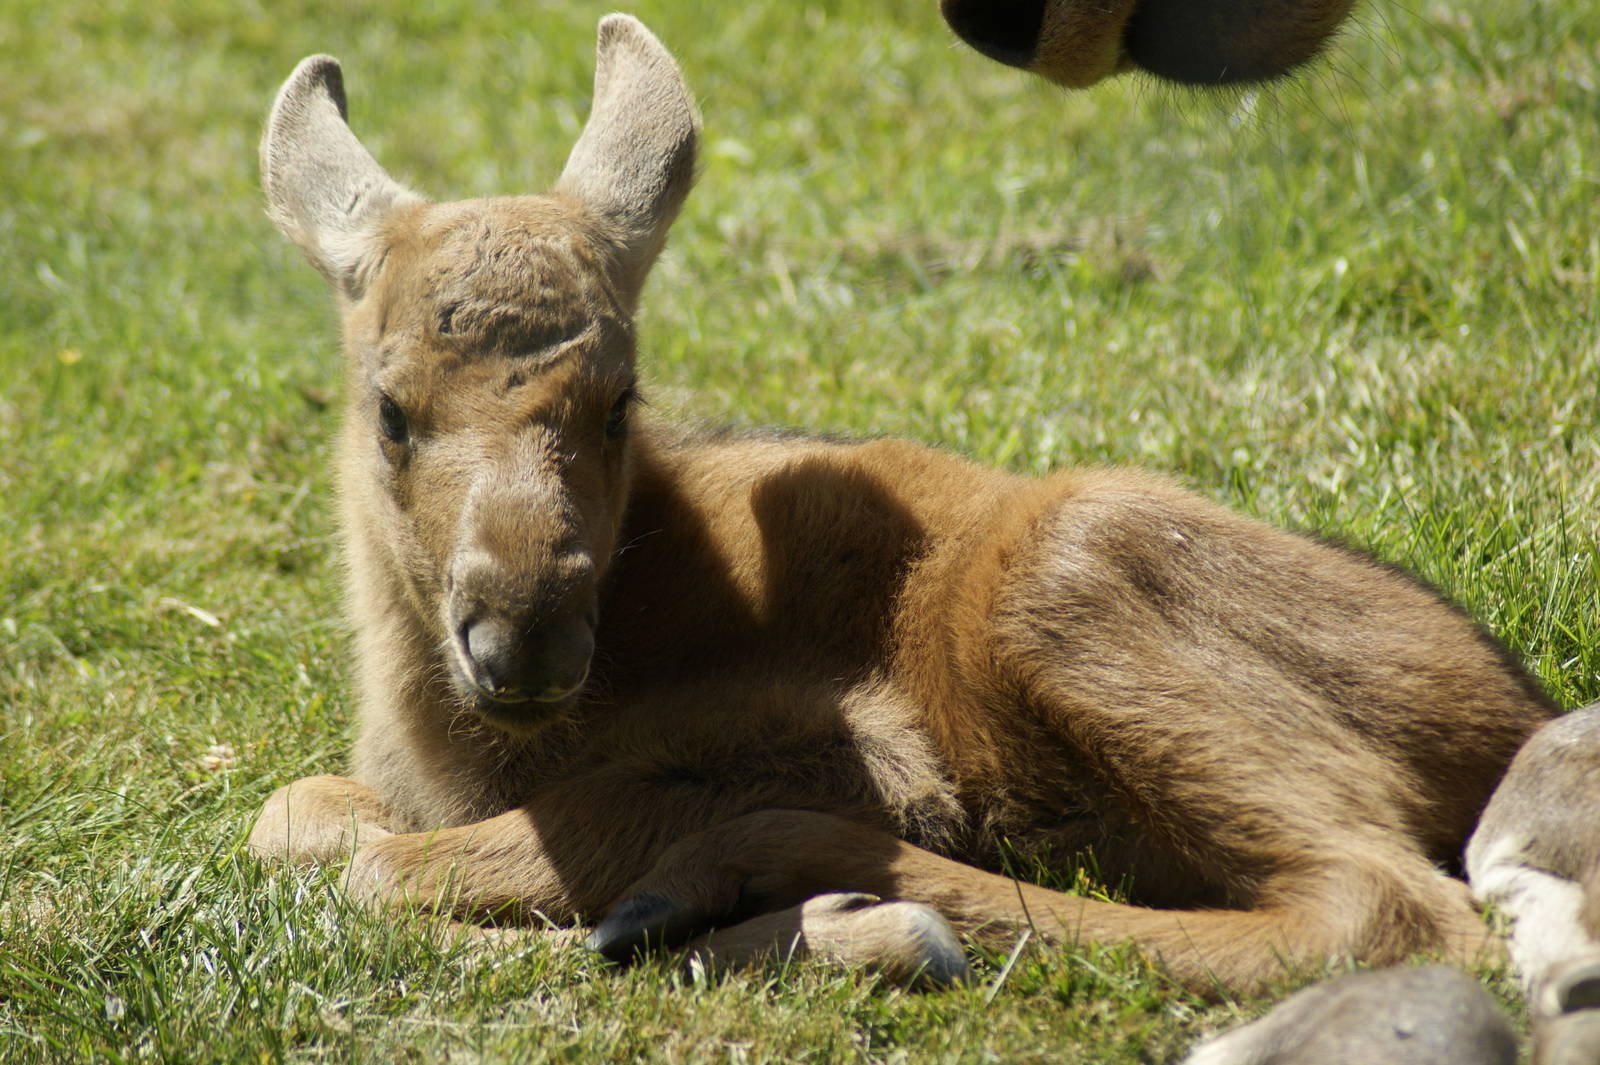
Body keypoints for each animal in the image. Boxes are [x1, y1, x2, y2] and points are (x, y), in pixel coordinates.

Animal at [249, 14, 1560, 994]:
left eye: (620, 400)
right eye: (390, 410)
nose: (523, 637)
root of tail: (1515, 721)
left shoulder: (851, 748)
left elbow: (395, 867)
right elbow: (293, 816)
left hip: (1070, 566)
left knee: (1381, 907)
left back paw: (805, 906)